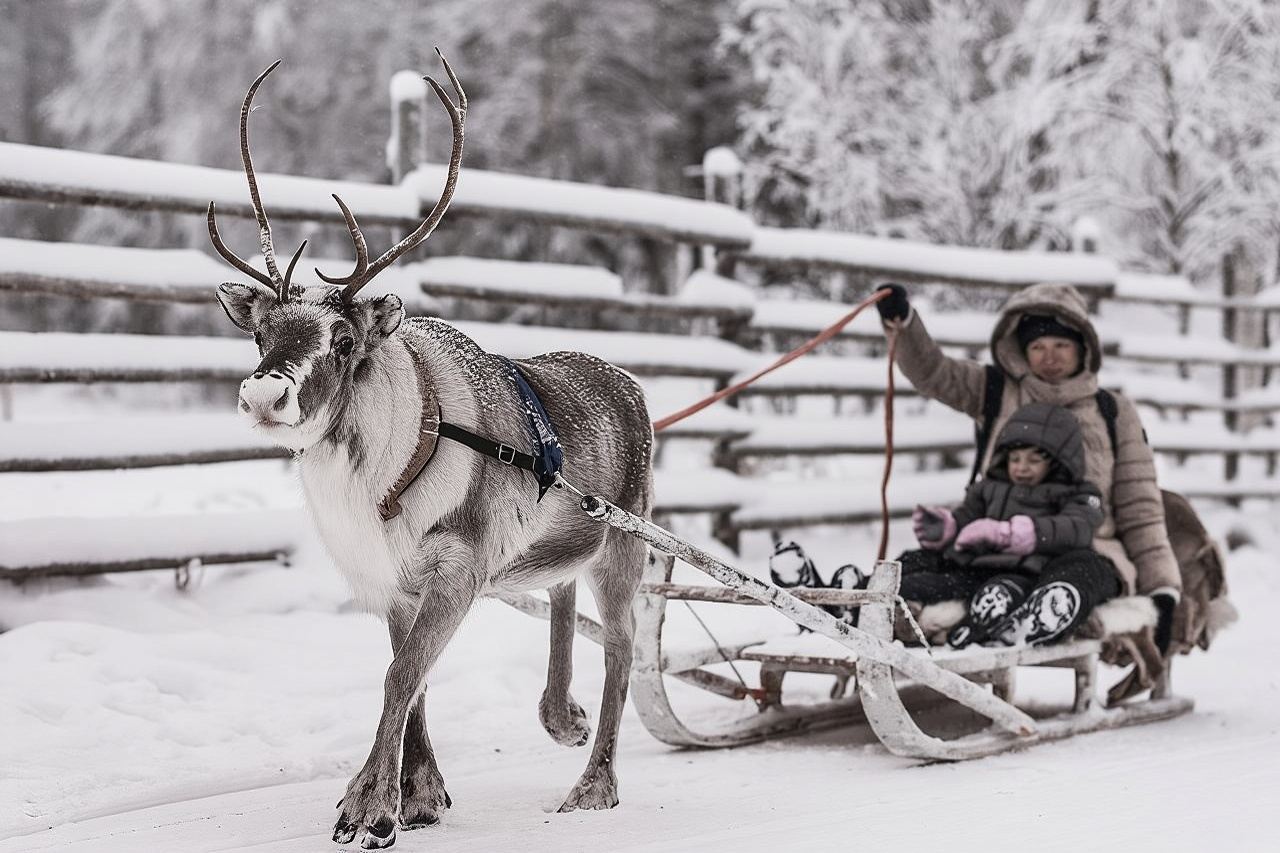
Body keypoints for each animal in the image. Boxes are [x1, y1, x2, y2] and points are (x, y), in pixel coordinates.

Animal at [208, 52, 653, 850]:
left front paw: (366, 806)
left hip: (625, 541)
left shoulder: (458, 569)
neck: (380, 479)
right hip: (565, 535)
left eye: (342, 341)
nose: (264, 395)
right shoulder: (392, 581)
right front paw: (418, 796)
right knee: (563, 589)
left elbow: (400, 676)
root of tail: (629, 384)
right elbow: (410, 677)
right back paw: (560, 715)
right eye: (261, 333)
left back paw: (594, 783)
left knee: (623, 643)